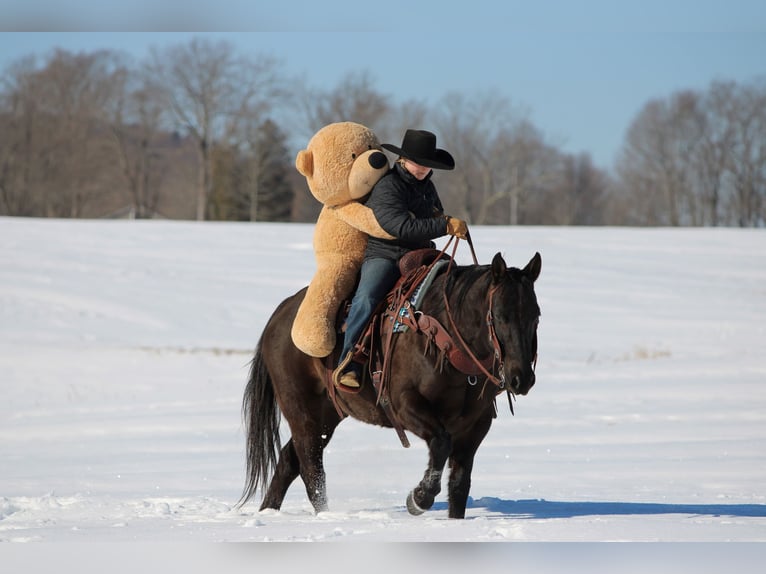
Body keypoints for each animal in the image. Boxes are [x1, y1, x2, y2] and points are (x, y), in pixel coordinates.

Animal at [239, 248, 542, 519]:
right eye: (500, 315)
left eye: (536, 315)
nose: (521, 378)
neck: (446, 340)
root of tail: (280, 314)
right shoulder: (404, 405)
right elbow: (440, 443)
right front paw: (419, 498)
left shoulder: (475, 425)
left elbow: (459, 485)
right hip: (302, 410)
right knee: (311, 467)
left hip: (327, 414)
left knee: (289, 461)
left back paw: (269, 513)